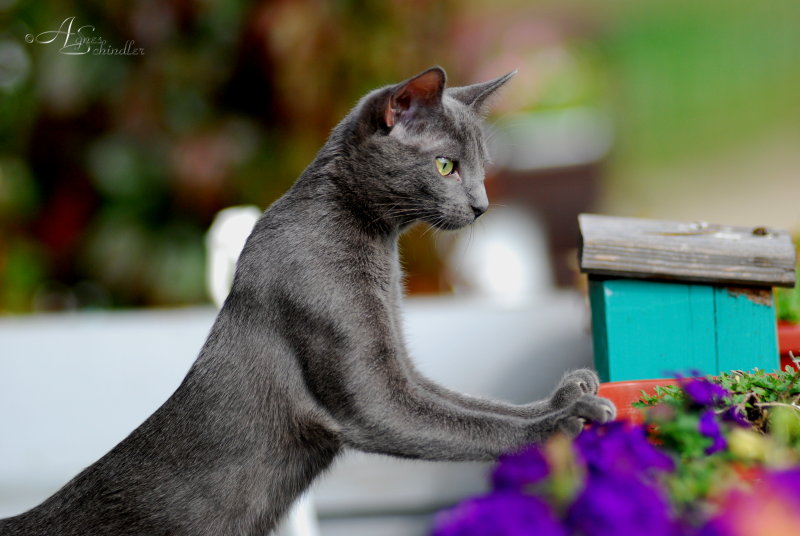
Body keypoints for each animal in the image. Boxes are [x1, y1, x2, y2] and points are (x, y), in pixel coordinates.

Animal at [0, 68, 616, 536]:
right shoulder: (372, 395)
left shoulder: (399, 368)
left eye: (484, 167)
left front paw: (567, 394)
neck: (374, 241)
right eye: (446, 166)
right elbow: (473, 427)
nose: (483, 205)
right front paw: (566, 421)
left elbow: (477, 406)